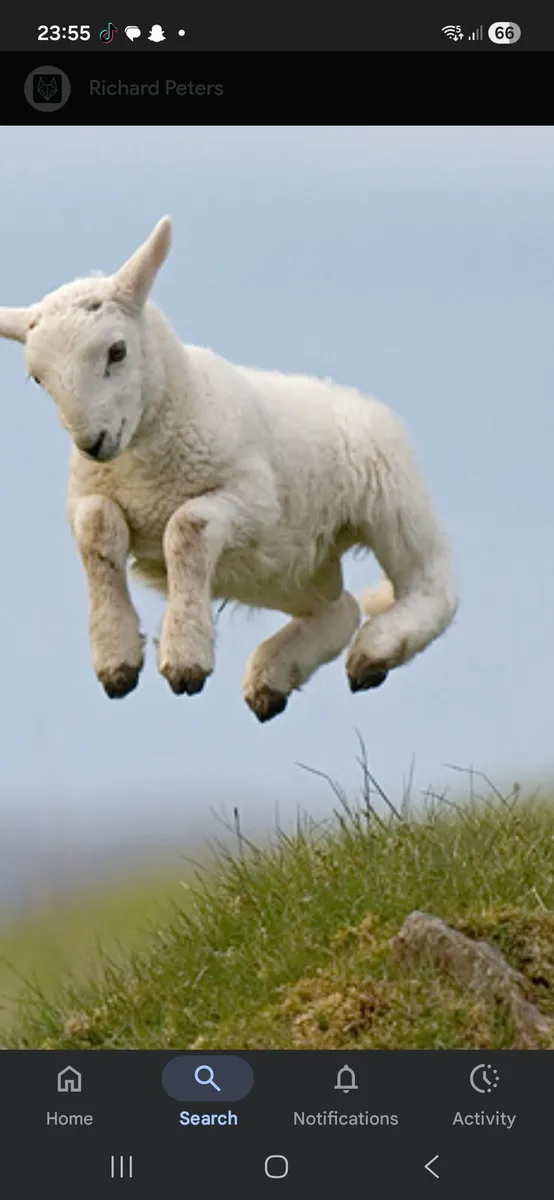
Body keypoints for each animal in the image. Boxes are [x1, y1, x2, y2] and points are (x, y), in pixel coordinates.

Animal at [0, 216, 458, 722]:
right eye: (37, 377)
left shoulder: (254, 501)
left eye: (116, 351)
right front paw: (117, 661)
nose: (92, 442)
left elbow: (187, 529)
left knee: (432, 585)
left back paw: (375, 651)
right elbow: (98, 532)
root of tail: (348, 395)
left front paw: (185, 661)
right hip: (280, 569)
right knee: (339, 610)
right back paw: (273, 680)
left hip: (389, 496)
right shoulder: (86, 497)